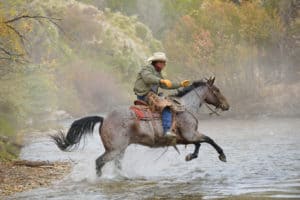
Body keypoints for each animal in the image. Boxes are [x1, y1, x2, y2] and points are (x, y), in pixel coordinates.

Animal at [51, 76, 230, 177]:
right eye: (217, 90)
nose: (226, 105)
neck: (186, 107)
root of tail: (104, 119)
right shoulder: (191, 134)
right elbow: (209, 140)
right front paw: (222, 155)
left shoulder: (186, 138)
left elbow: (199, 144)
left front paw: (190, 156)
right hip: (114, 150)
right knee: (99, 162)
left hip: (119, 150)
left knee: (115, 165)